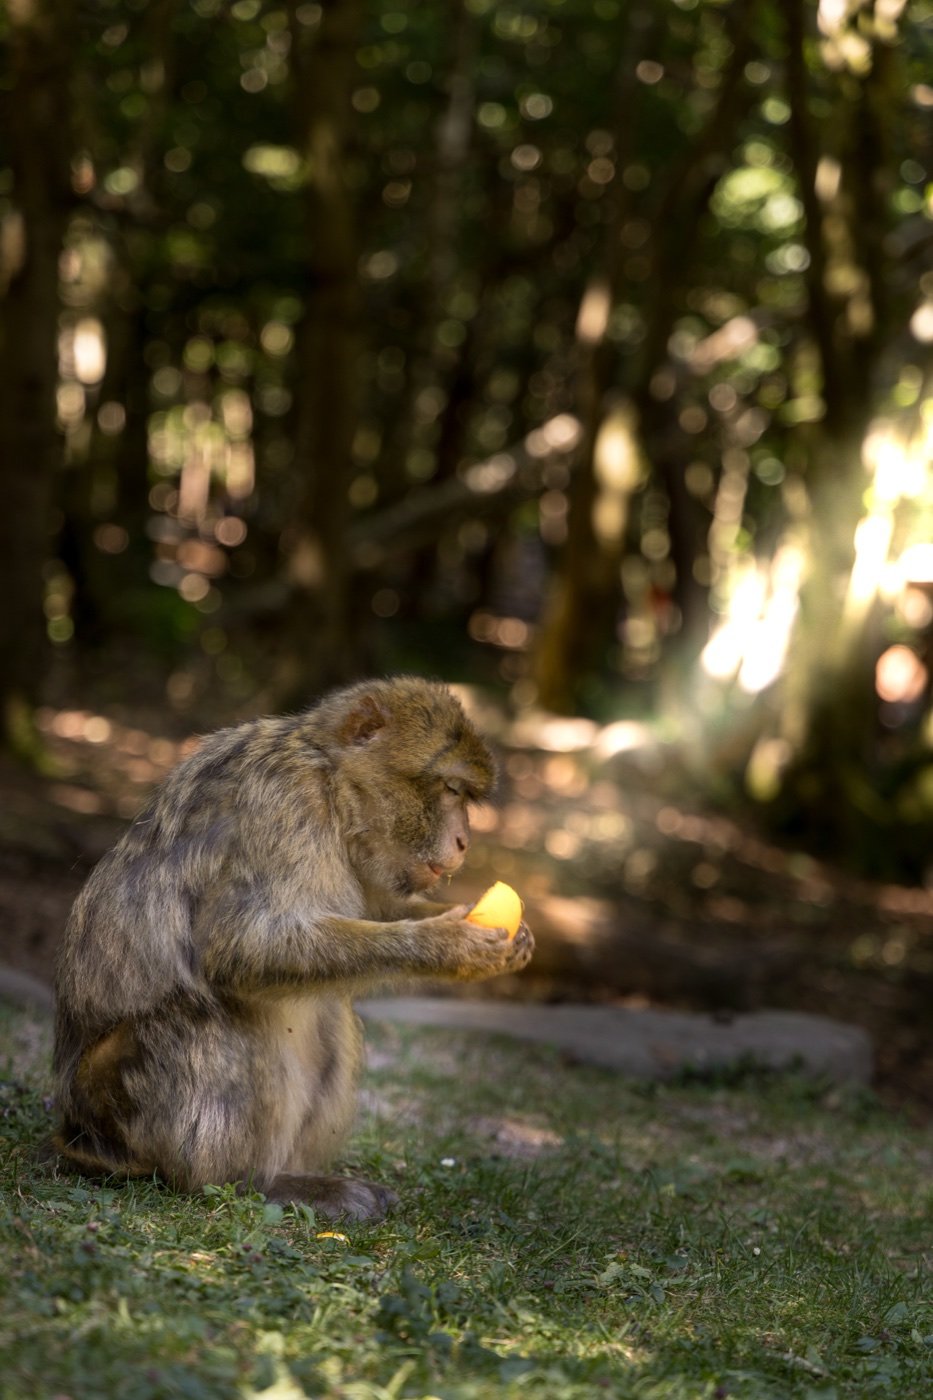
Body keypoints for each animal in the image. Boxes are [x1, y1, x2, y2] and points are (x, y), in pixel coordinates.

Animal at [52, 677, 534, 1221]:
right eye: (451, 789)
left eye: (466, 796)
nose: (463, 841)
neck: (331, 783)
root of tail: (80, 1135)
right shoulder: (283, 803)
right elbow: (241, 947)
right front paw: (445, 945)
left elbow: (374, 908)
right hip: (120, 1103)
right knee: (209, 1020)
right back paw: (250, 1183)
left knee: (329, 1009)